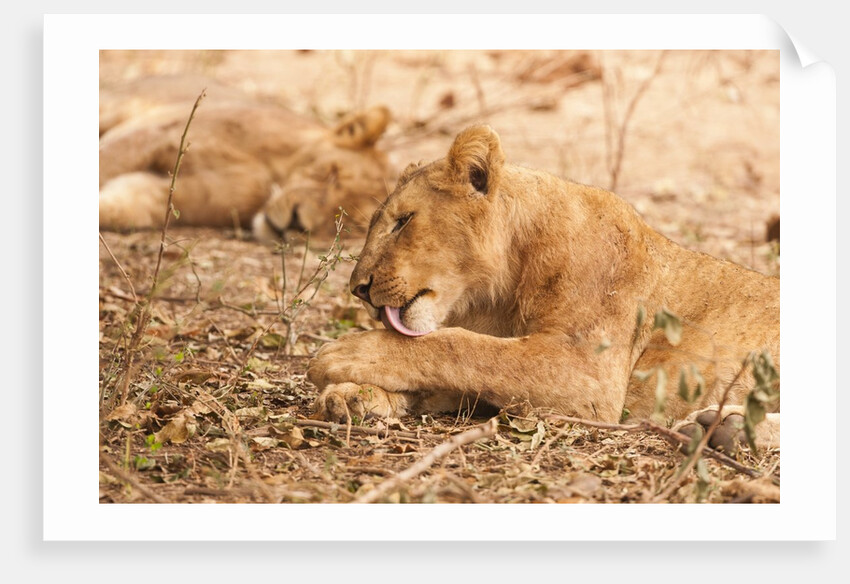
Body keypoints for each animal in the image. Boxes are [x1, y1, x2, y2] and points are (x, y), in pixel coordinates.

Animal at [99, 75, 393, 239]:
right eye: (331, 173)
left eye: (349, 221)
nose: (297, 223)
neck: (269, 176)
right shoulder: (153, 136)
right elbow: (105, 163)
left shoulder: (168, 194)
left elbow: (121, 208)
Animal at [307, 125, 780, 452]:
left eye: (403, 222)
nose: (358, 288)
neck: (496, 291)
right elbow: (443, 365)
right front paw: (352, 395)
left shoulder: (588, 374)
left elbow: (464, 349)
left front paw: (345, 354)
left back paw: (727, 429)